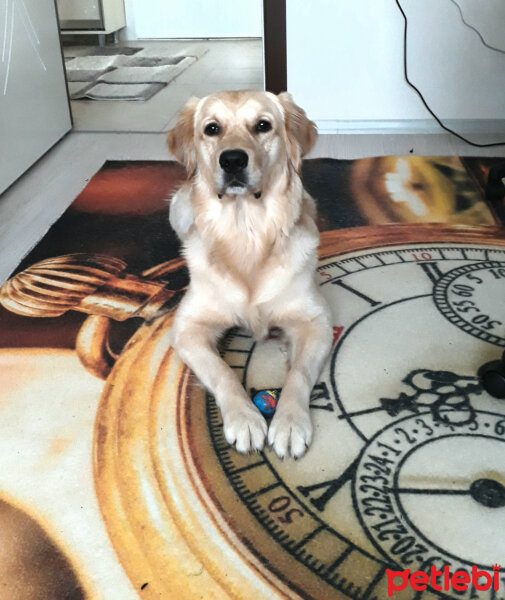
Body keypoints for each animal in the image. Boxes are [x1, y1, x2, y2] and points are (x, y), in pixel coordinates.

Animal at [166, 90, 330, 460]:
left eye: (263, 125)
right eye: (212, 128)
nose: (232, 160)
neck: (246, 233)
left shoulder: (315, 321)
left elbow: (298, 374)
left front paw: (289, 423)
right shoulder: (187, 328)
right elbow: (222, 372)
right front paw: (245, 419)